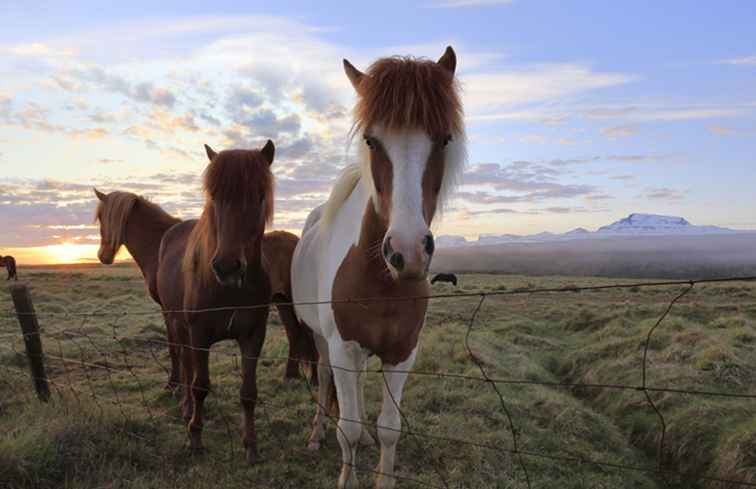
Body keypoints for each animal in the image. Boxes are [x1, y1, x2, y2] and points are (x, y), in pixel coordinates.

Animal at [94, 188, 316, 388]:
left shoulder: (168, 310)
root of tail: (299, 241)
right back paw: (290, 376)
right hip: (281, 300)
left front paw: (173, 383)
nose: (103, 256)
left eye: (102, 218)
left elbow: (174, 347)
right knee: (294, 334)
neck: (159, 246)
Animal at [157, 140, 278, 462]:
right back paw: (186, 408)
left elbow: (248, 392)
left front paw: (251, 445)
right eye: (214, 196)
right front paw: (195, 438)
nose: (227, 267)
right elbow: (200, 385)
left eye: (259, 195)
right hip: (177, 324)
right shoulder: (199, 335)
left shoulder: (253, 336)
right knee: (186, 365)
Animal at [290, 47, 464, 488]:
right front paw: (345, 470)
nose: (407, 252)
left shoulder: (402, 353)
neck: (381, 282)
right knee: (325, 382)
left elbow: (390, 429)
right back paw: (315, 434)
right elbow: (347, 429)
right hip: (322, 341)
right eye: (371, 140)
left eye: (444, 139)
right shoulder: (342, 346)